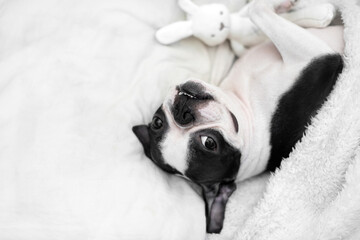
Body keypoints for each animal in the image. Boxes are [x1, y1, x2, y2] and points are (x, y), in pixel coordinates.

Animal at [131, 0, 344, 233]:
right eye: (209, 143)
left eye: (157, 122)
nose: (182, 113)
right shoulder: (322, 59)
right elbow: (257, 11)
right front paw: (282, 6)